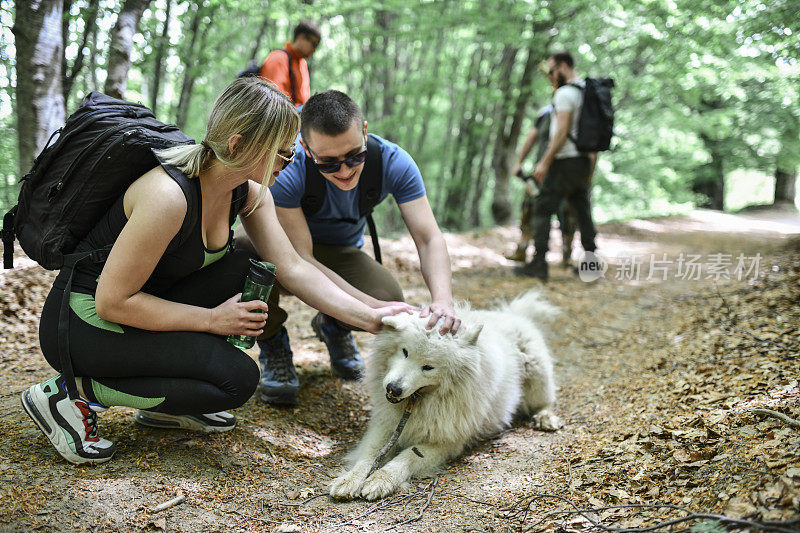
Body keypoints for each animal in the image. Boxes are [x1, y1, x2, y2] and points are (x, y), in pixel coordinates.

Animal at [328, 288, 560, 500]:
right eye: (405, 352)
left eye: (428, 367)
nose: (393, 388)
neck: (420, 402)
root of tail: (512, 314)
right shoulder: (385, 426)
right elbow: (370, 454)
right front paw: (350, 479)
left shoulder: (446, 442)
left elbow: (408, 456)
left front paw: (382, 479)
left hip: (536, 372)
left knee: (545, 400)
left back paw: (545, 418)